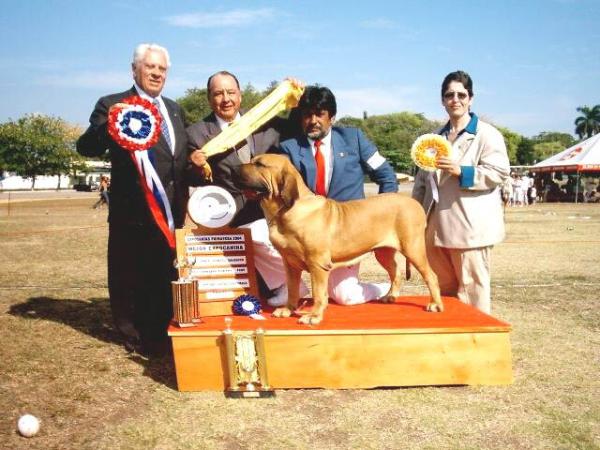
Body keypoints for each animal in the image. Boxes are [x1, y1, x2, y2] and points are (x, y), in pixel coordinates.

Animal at [237, 155, 442, 324]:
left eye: (259, 164)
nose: (235, 168)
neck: (286, 211)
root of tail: (415, 203)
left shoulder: (317, 264)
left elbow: (319, 293)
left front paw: (314, 316)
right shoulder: (290, 264)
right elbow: (292, 289)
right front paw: (287, 310)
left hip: (413, 248)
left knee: (431, 276)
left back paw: (435, 304)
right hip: (383, 252)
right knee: (396, 272)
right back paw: (389, 296)